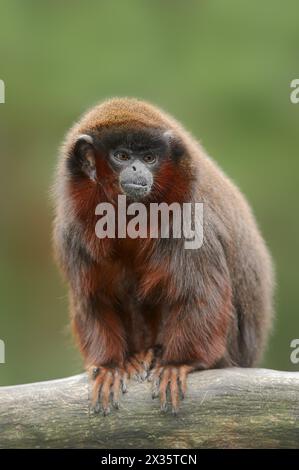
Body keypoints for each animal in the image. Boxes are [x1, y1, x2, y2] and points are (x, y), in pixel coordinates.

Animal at [52, 97, 274, 414]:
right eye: (122, 156)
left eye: (149, 158)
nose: (136, 169)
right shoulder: (72, 230)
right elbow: (95, 299)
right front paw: (109, 366)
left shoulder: (191, 216)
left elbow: (198, 295)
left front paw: (178, 363)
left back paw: (158, 354)